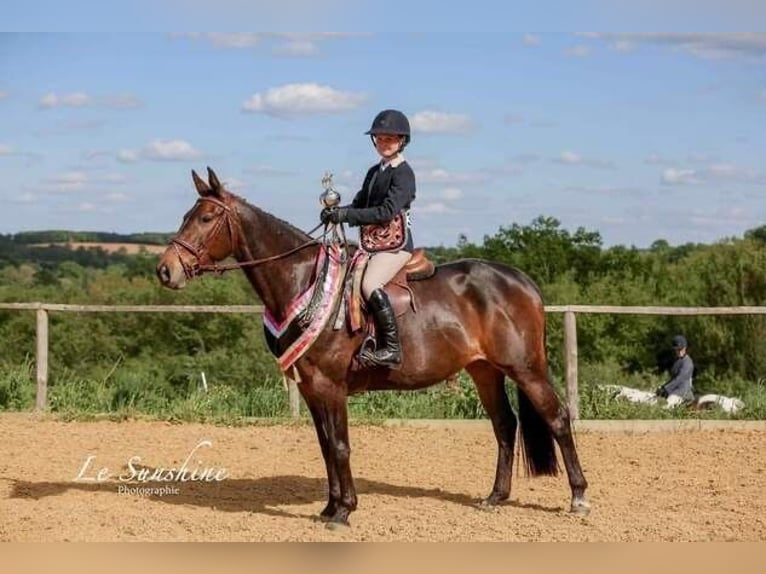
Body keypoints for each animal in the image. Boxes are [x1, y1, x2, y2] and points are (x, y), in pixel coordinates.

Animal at [156, 167, 590, 528]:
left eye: (206, 219)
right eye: (185, 216)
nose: (165, 270)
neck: (305, 281)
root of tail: (521, 280)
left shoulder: (330, 386)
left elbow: (341, 446)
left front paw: (344, 511)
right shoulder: (311, 388)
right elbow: (325, 446)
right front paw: (329, 506)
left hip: (525, 368)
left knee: (557, 419)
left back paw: (578, 498)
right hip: (484, 370)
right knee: (504, 425)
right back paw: (496, 497)